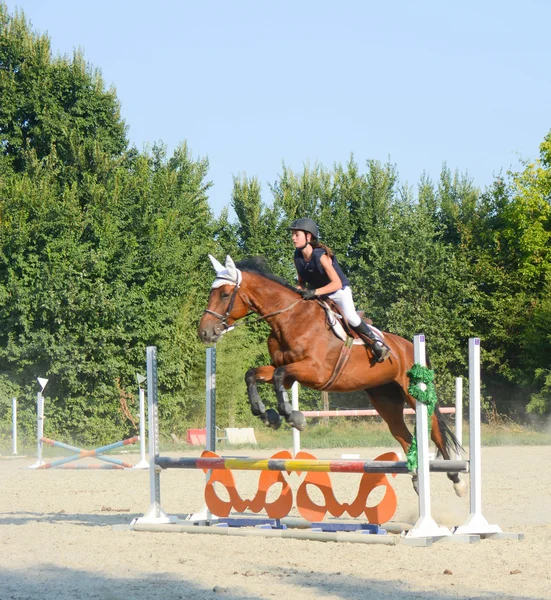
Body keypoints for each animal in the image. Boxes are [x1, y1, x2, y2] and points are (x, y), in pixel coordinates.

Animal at [198, 254, 466, 496]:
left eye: (224, 294)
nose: (204, 332)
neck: (289, 319)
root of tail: (409, 346)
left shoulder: (315, 371)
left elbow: (278, 377)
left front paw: (292, 416)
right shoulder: (288, 372)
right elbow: (253, 375)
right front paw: (267, 415)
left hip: (413, 393)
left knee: (435, 432)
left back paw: (456, 479)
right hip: (385, 400)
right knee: (405, 437)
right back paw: (418, 480)